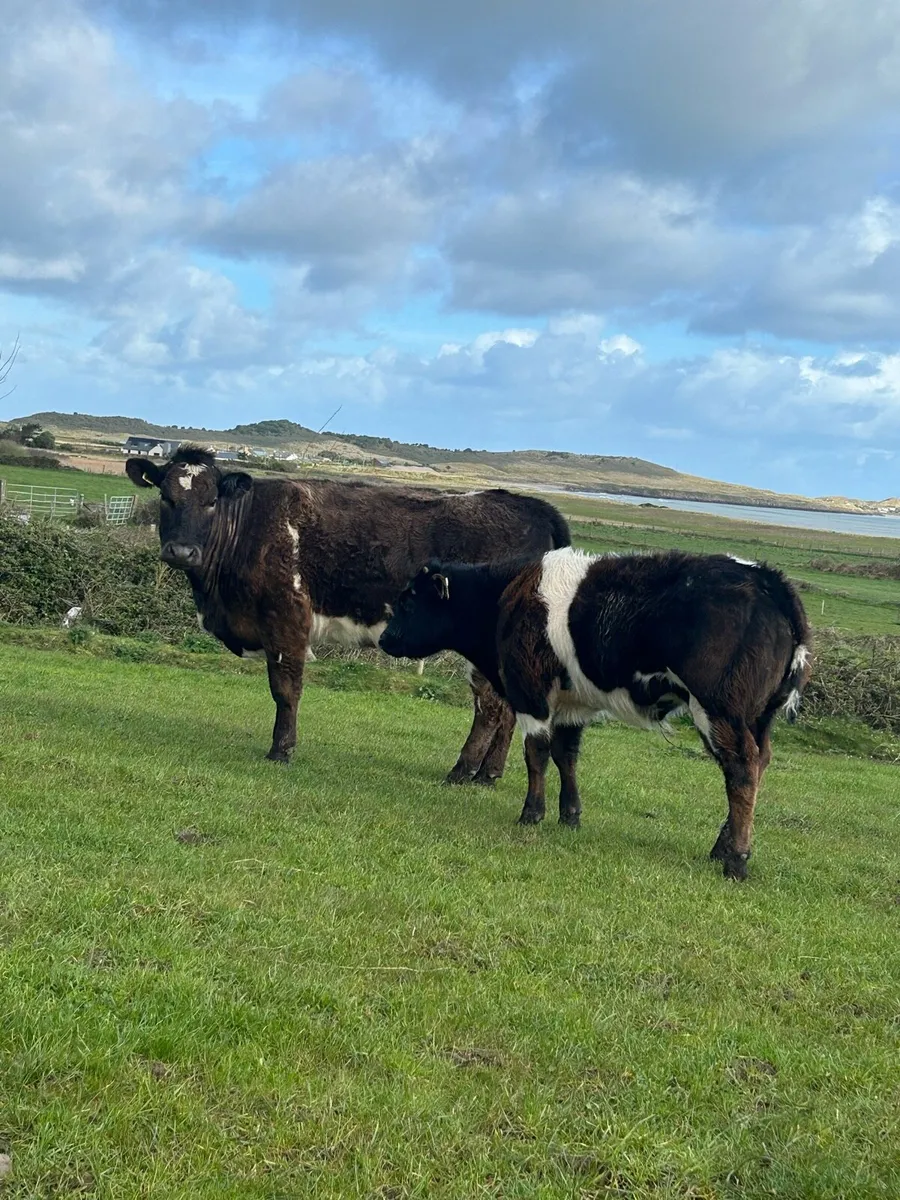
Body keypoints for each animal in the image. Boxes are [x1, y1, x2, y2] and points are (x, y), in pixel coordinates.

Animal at [125, 447, 571, 783]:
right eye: (166, 497)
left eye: (211, 500)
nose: (181, 552)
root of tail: (529, 504)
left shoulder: (287, 618)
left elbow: (286, 689)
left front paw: (281, 750)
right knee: (509, 709)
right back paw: (487, 775)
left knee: (490, 706)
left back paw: (462, 771)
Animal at [378, 547, 812, 880]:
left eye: (409, 602)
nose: (383, 639)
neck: (507, 596)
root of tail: (767, 580)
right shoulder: (572, 705)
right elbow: (565, 755)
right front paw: (569, 815)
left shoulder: (531, 693)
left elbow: (536, 753)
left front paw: (532, 812)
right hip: (756, 719)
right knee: (758, 765)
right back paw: (723, 847)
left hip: (719, 710)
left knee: (741, 771)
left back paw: (735, 860)